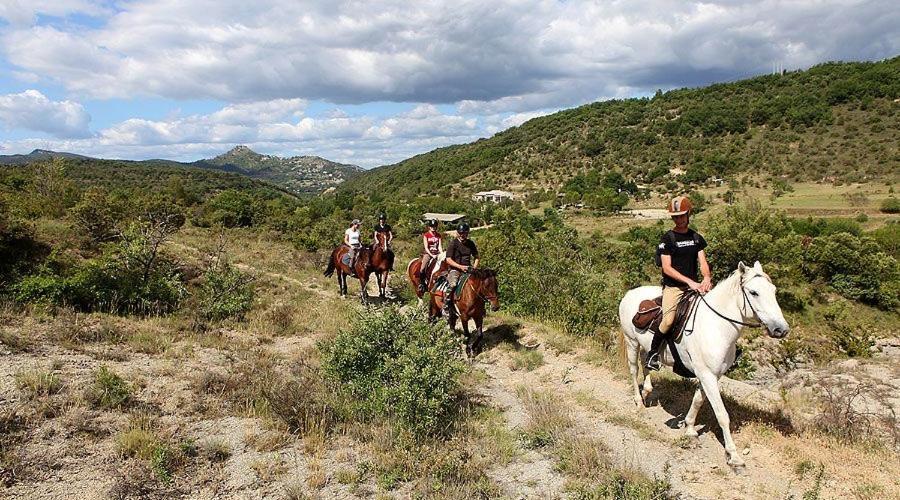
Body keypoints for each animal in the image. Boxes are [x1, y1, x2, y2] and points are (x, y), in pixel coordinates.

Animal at [620, 262, 788, 468]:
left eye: (774, 291)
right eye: (754, 292)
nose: (781, 329)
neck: (716, 326)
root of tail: (630, 293)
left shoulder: (709, 375)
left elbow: (698, 401)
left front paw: (690, 428)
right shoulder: (708, 376)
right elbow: (722, 415)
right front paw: (733, 455)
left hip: (646, 347)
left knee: (647, 364)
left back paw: (647, 392)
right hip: (631, 342)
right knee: (634, 369)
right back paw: (638, 401)